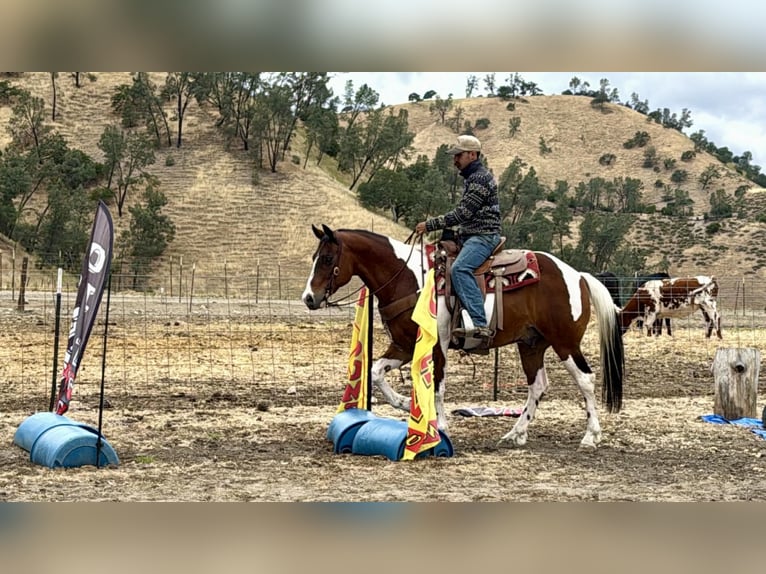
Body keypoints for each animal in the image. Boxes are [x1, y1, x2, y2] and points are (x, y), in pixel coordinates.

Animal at [302, 224, 625, 449]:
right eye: (314, 257)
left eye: (328, 258)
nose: (308, 298)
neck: (408, 278)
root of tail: (578, 276)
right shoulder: (404, 346)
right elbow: (377, 371)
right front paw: (405, 404)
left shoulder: (437, 344)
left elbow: (438, 387)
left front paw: (439, 427)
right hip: (531, 345)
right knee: (538, 385)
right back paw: (515, 433)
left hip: (564, 342)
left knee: (585, 379)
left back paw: (590, 436)